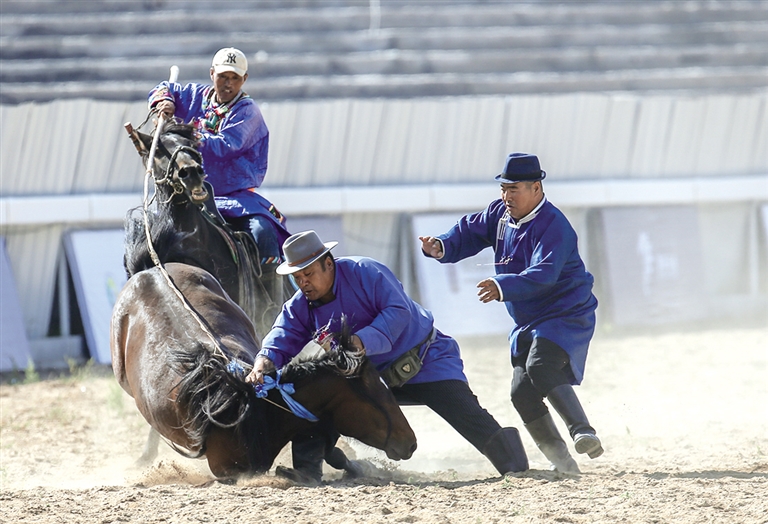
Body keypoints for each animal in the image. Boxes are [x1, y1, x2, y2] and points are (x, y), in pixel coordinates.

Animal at [110, 260, 417, 478]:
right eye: (376, 392)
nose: (411, 442)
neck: (253, 411)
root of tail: (151, 270)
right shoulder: (229, 470)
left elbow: (333, 454)